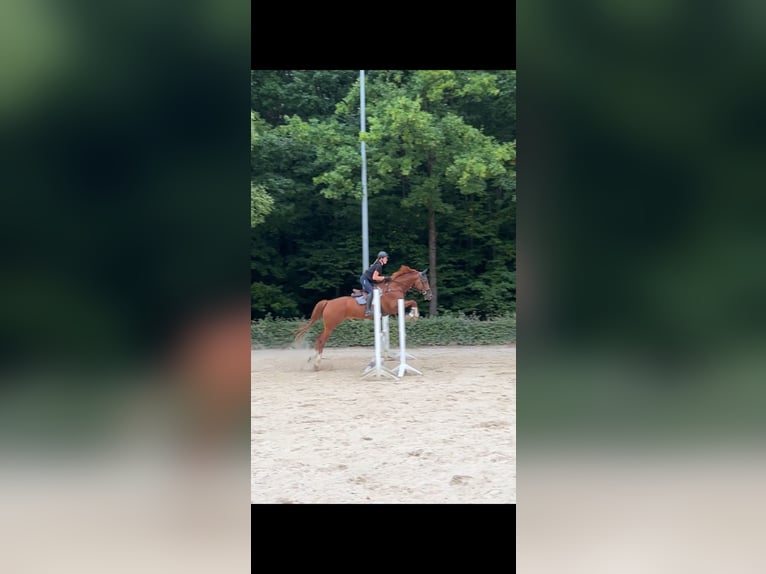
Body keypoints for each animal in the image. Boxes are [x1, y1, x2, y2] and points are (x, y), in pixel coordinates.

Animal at [294, 265, 432, 370]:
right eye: (425, 281)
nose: (430, 295)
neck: (394, 288)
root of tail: (328, 302)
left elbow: (412, 302)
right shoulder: (393, 307)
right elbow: (413, 301)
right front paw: (413, 315)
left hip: (329, 325)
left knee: (319, 339)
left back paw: (312, 359)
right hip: (331, 326)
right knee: (322, 340)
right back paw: (317, 363)